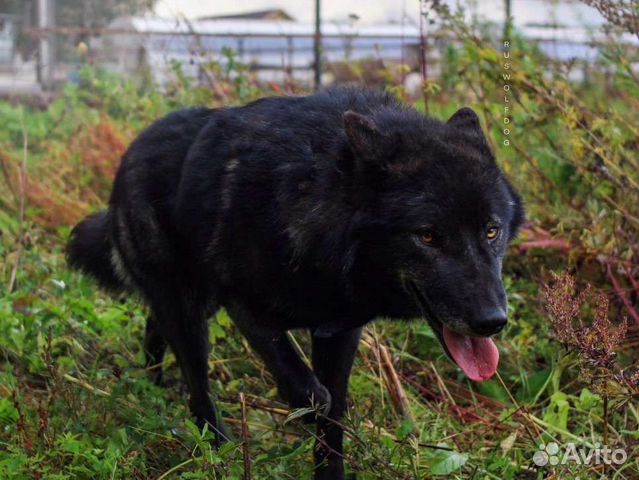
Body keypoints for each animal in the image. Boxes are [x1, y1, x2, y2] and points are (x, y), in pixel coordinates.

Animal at [67, 88, 524, 478]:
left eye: (491, 231)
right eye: (427, 236)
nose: (492, 321)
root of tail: (130, 152)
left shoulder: (340, 330)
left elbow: (334, 417)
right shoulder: (245, 307)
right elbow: (312, 396)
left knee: (154, 327)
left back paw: (154, 387)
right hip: (191, 316)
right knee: (198, 389)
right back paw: (218, 449)